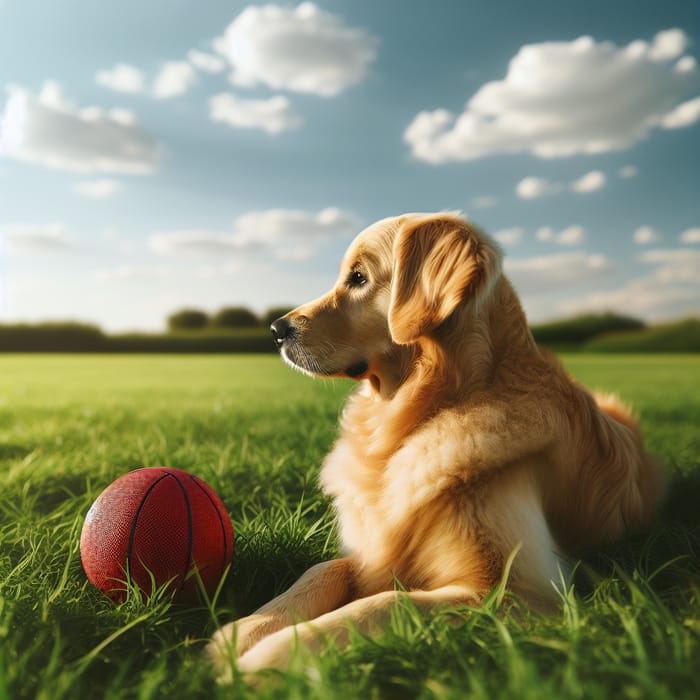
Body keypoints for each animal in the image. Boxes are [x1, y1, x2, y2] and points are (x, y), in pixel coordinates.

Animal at [206, 212, 660, 680]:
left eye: (358, 277)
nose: (276, 330)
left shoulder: (518, 591)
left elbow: (387, 602)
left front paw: (273, 657)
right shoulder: (373, 548)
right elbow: (322, 568)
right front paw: (247, 631)